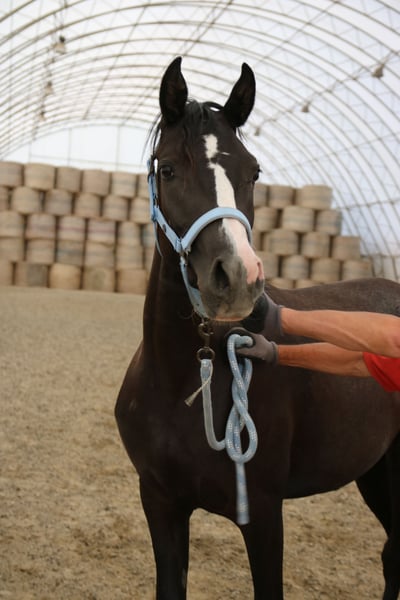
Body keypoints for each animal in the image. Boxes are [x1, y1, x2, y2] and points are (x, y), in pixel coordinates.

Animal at [115, 57, 400, 599]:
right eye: (167, 168)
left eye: (254, 172)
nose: (237, 277)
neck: (187, 384)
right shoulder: (159, 503)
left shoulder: (264, 515)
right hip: (377, 472)